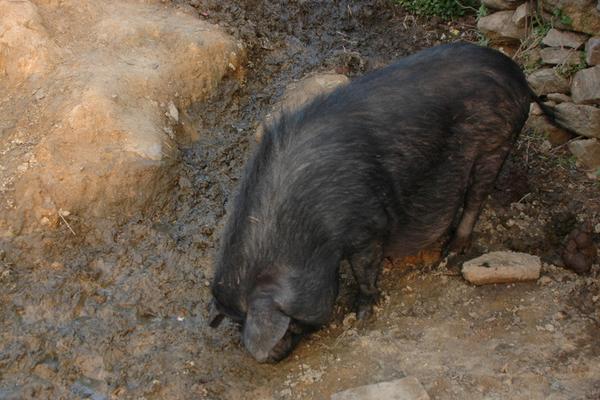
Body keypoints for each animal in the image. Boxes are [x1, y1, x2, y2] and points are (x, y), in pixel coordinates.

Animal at [210, 43, 536, 362]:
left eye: (288, 323)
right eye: (237, 321)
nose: (269, 357)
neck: (308, 232)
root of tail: (517, 75)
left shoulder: (366, 228)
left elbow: (364, 271)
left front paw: (360, 315)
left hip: (496, 142)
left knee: (476, 197)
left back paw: (451, 252)